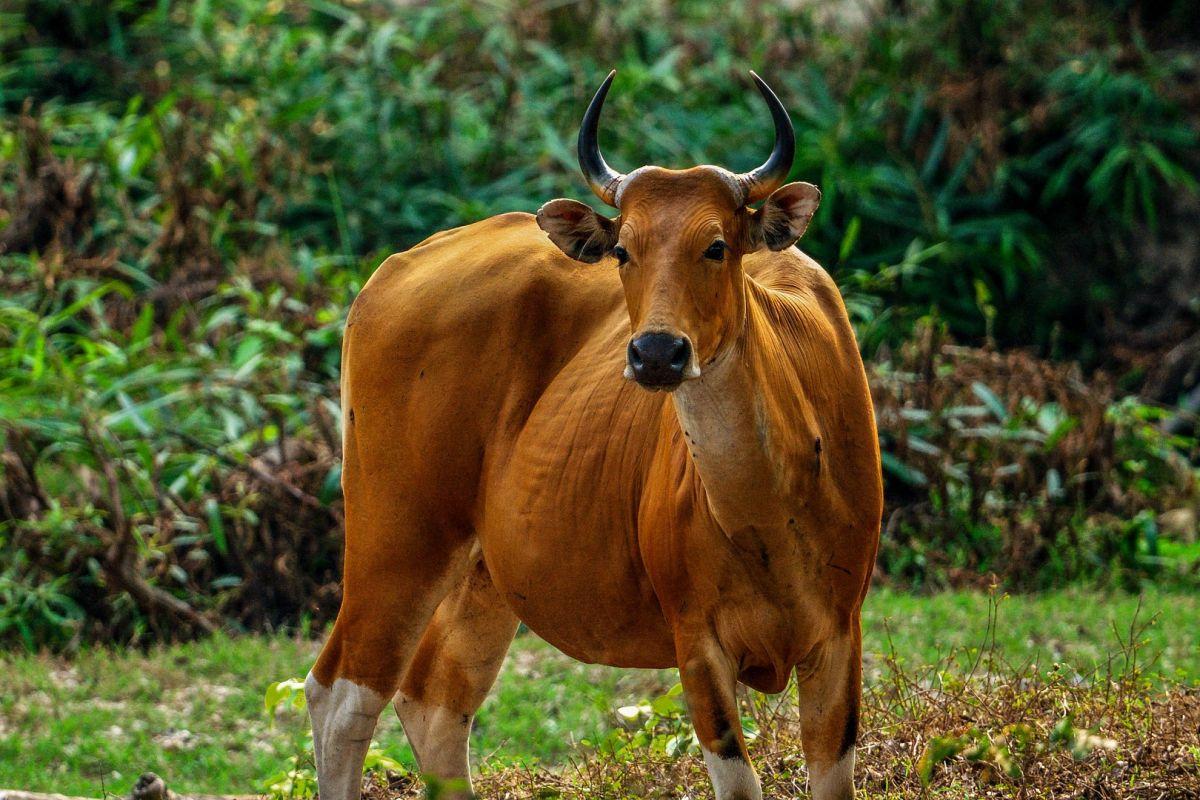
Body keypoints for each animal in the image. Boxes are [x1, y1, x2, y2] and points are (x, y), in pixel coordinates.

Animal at [302, 70, 883, 800]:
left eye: (716, 245)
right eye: (625, 250)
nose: (658, 352)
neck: (769, 516)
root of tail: (393, 270)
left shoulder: (840, 634)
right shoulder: (697, 644)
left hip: (485, 572)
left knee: (433, 700)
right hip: (398, 536)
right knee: (340, 696)